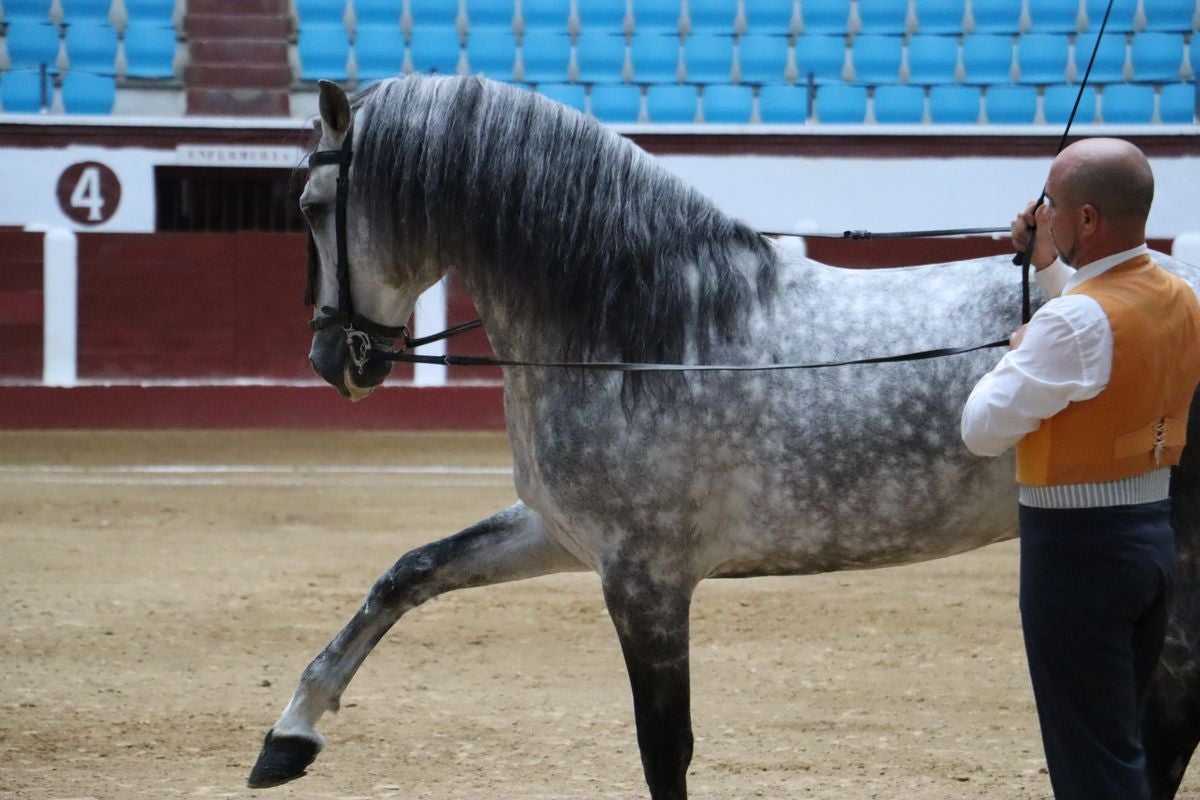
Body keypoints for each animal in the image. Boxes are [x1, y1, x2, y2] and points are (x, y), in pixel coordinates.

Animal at [249, 74, 1200, 799]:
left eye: (312, 204)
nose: (334, 358)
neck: (649, 331)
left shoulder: (647, 580)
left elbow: (664, 748)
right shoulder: (565, 536)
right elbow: (407, 575)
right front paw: (290, 735)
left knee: (1169, 713)